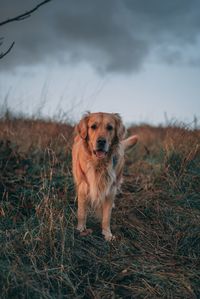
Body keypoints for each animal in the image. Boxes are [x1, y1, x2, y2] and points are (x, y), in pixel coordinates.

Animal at [72, 112, 138, 241]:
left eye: (110, 127)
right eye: (93, 126)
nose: (101, 141)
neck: (99, 164)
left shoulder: (110, 189)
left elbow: (106, 216)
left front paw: (107, 234)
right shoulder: (84, 187)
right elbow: (81, 212)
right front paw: (80, 229)